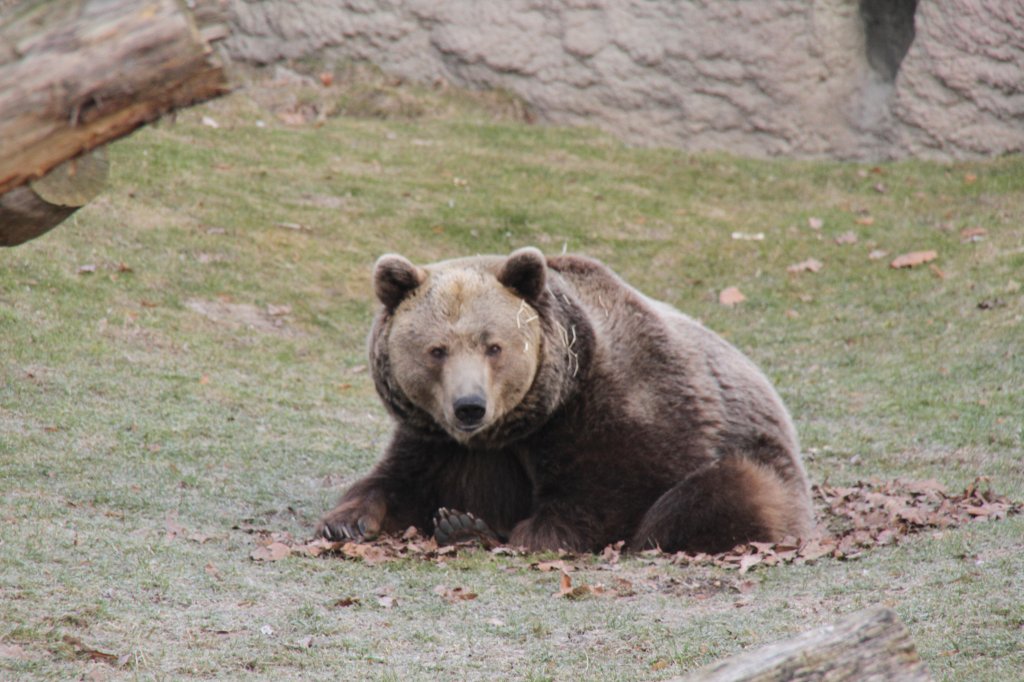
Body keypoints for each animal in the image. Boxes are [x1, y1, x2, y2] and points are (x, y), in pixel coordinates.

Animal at [315, 246, 811, 548]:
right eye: (437, 350)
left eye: (493, 346)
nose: (469, 406)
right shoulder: (438, 440)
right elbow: (397, 482)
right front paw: (346, 520)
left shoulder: (619, 408)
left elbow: (611, 488)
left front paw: (516, 531)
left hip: (766, 464)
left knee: (728, 490)